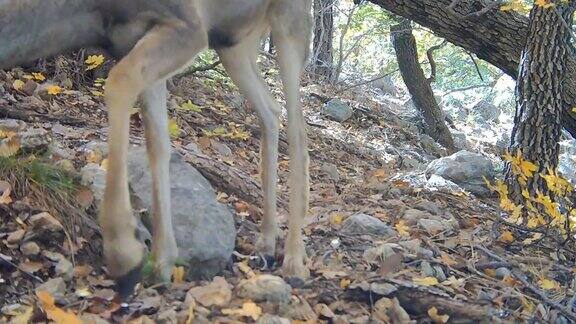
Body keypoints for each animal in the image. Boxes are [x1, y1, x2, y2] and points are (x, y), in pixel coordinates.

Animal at [0, 0, 312, 298]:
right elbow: (157, 142)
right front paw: (162, 262)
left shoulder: (188, 27)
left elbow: (118, 82)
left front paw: (125, 251)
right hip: (233, 42)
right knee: (271, 111)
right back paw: (267, 242)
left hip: (289, 23)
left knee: (297, 128)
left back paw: (294, 260)